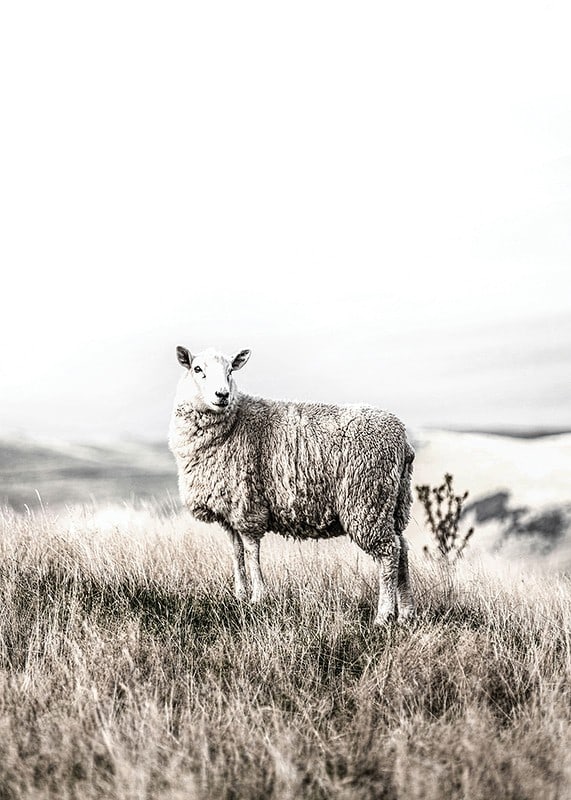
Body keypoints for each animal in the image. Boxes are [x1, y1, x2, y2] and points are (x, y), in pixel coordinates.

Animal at [168, 345, 415, 624]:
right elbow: (236, 552)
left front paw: (258, 597)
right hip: (392, 503)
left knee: (389, 553)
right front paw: (240, 595)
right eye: (197, 369)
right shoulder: (229, 510)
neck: (234, 423)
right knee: (402, 550)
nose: (222, 395)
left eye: (231, 370)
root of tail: (403, 440)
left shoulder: (248, 505)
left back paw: (384, 616)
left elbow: (251, 552)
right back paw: (406, 613)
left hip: (367, 499)